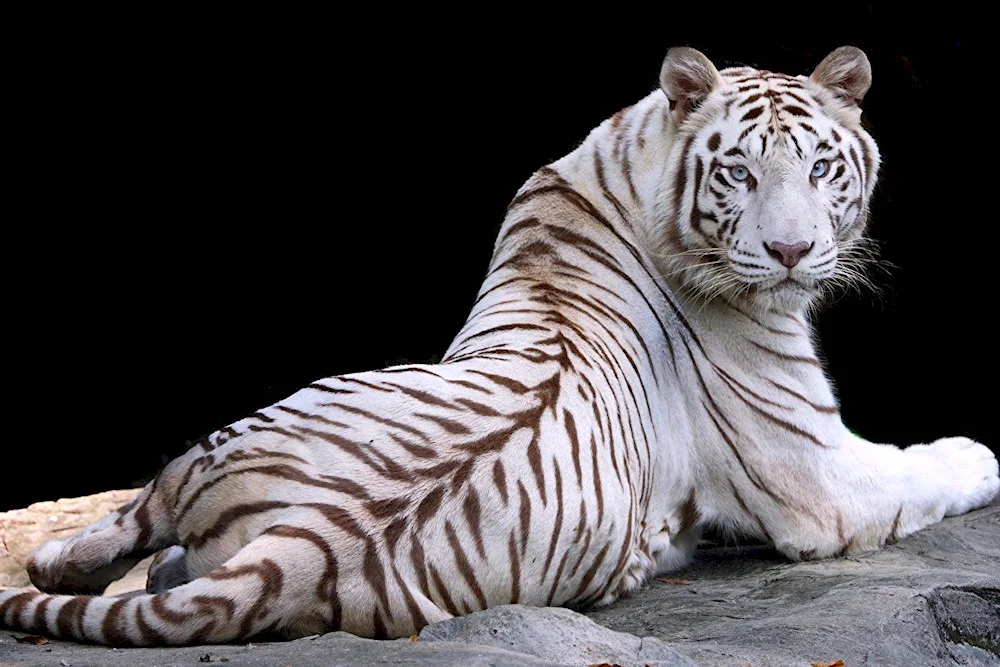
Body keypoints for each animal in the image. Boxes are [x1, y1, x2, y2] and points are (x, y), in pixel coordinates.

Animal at [0, 44, 996, 644]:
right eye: (740, 174)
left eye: (823, 168)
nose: (791, 252)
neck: (625, 161)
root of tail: (312, 545)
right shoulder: (819, 479)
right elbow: (930, 467)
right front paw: (980, 451)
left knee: (106, 543)